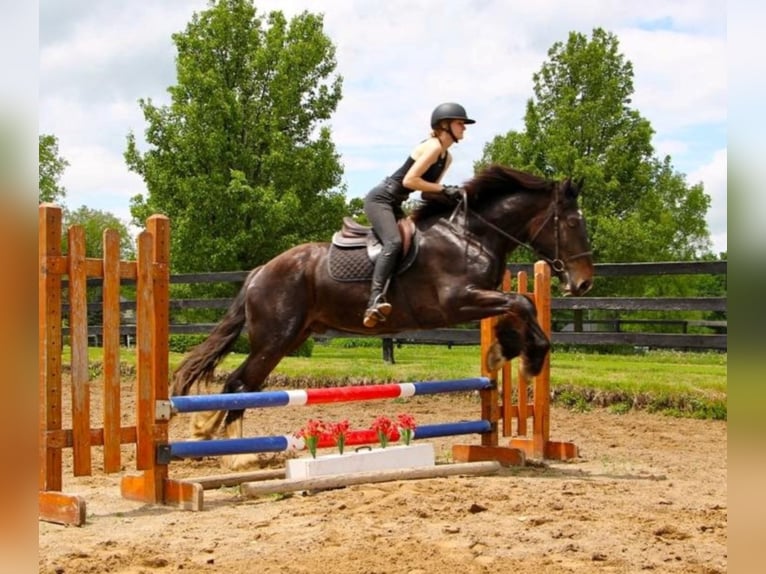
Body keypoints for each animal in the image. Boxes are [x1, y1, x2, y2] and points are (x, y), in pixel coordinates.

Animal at [172, 163, 592, 468]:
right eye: (573, 223)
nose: (584, 282)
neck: (471, 235)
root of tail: (260, 271)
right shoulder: (457, 301)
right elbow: (522, 303)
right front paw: (529, 359)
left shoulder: (481, 298)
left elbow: (520, 307)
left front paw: (503, 351)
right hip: (275, 339)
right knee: (239, 383)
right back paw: (232, 452)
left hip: (291, 337)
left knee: (247, 384)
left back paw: (213, 438)